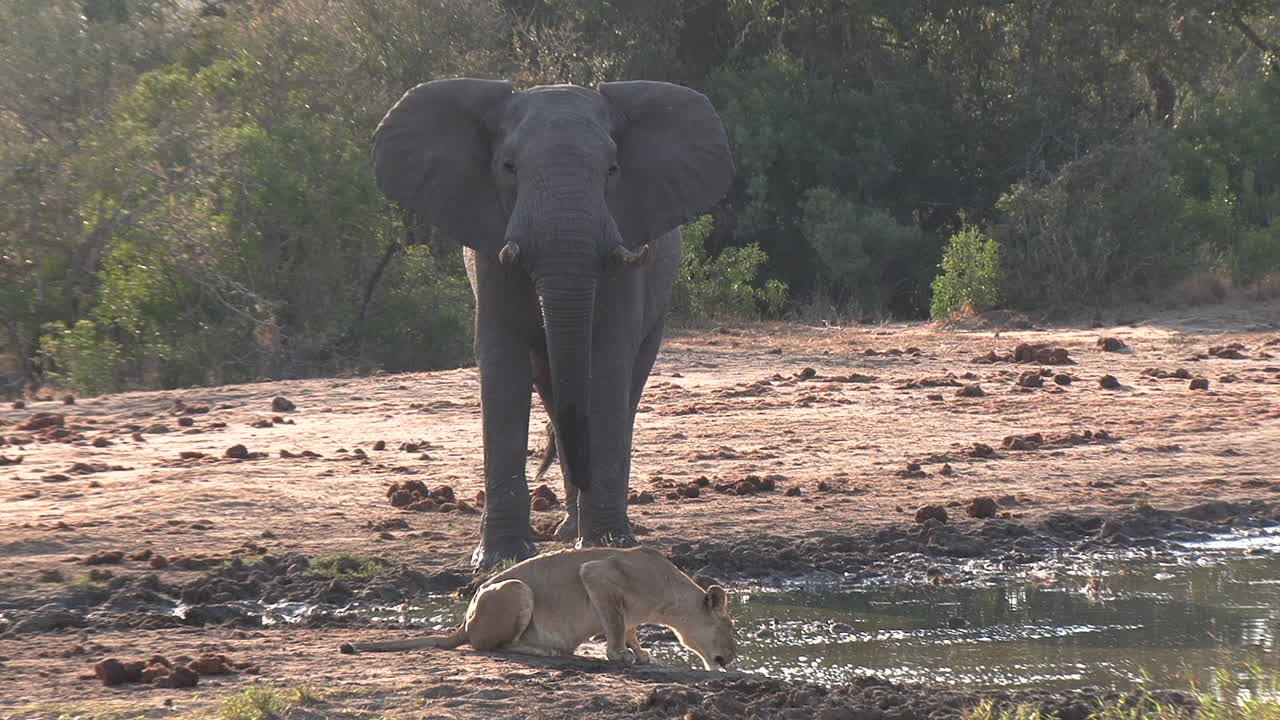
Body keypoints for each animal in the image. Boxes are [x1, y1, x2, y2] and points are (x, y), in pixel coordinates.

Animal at [372, 78, 734, 568]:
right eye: (508, 168)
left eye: (613, 170)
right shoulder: (489, 255)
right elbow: (502, 366)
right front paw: (497, 558)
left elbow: (606, 363)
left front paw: (606, 544)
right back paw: (567, 532)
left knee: (622, 390)